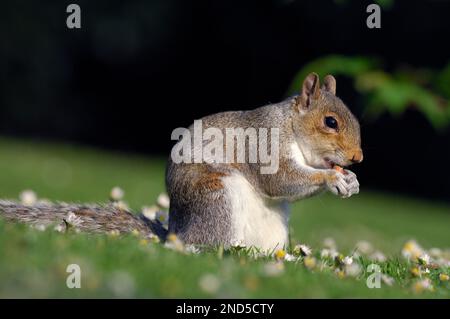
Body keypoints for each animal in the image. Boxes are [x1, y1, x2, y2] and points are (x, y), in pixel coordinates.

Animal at [0, 73, 360, 252]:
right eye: (330, 122)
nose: (358, 158)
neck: (291, 127)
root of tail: (177, 234)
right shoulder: (265, 145)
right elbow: (280, 179)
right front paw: (332, 178)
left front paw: (351, 181)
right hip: (215, 198)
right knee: (203, 247)